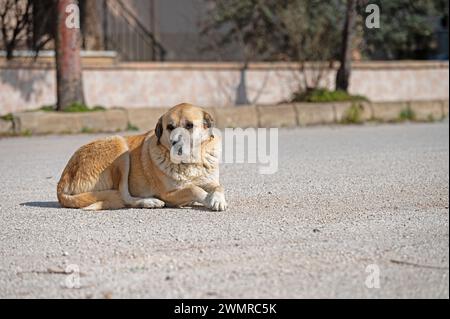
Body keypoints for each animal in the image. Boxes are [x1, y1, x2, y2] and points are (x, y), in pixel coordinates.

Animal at [56, 104, 227, 211]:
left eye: (189, 125)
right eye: (170, 127)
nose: (175, 142)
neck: (190, 163)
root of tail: (62, 180)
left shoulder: (210, 182)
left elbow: (219, 187)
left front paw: (217, 199)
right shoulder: (169, 194)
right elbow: (193, 188)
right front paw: (207, 198)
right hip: (120, 146)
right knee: (124, 196)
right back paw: (149, 201)